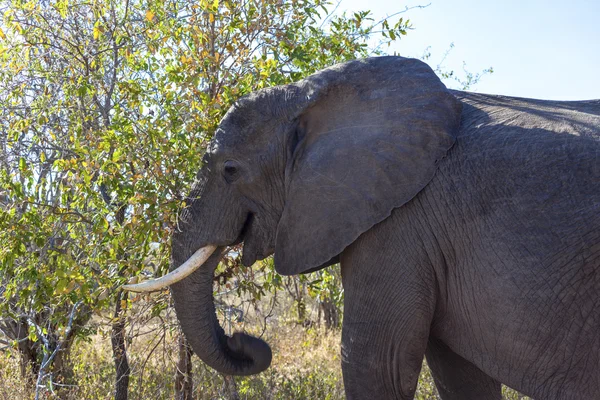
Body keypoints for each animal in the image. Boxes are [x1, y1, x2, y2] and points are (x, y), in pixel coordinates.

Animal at [122, 57, 600, 400]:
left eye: (230, 170)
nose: (246, 340)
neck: (310, 95)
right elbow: (460, 376)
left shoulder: (400, 224)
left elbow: (376, 365)